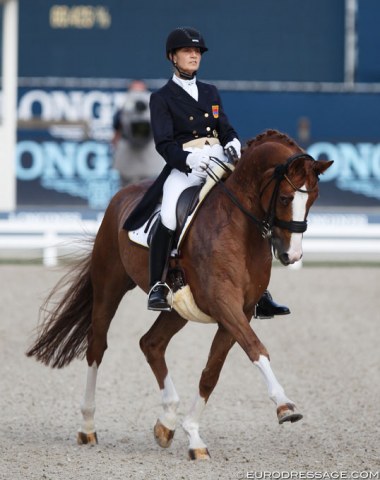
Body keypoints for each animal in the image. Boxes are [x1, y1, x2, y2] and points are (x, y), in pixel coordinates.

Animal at [26, 129, 332, 460]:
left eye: (314, 198)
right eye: (286, 197)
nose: (292, 255)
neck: (238, 226)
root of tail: (123, 193)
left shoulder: (240, 311)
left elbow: (211, 373)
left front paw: (193, 436)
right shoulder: (224, 303)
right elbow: (256, 348)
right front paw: (285, 406)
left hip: (177, 309)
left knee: (151, 343)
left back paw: (167, 421)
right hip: (109, 284)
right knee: (97, 346)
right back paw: (88, 426)